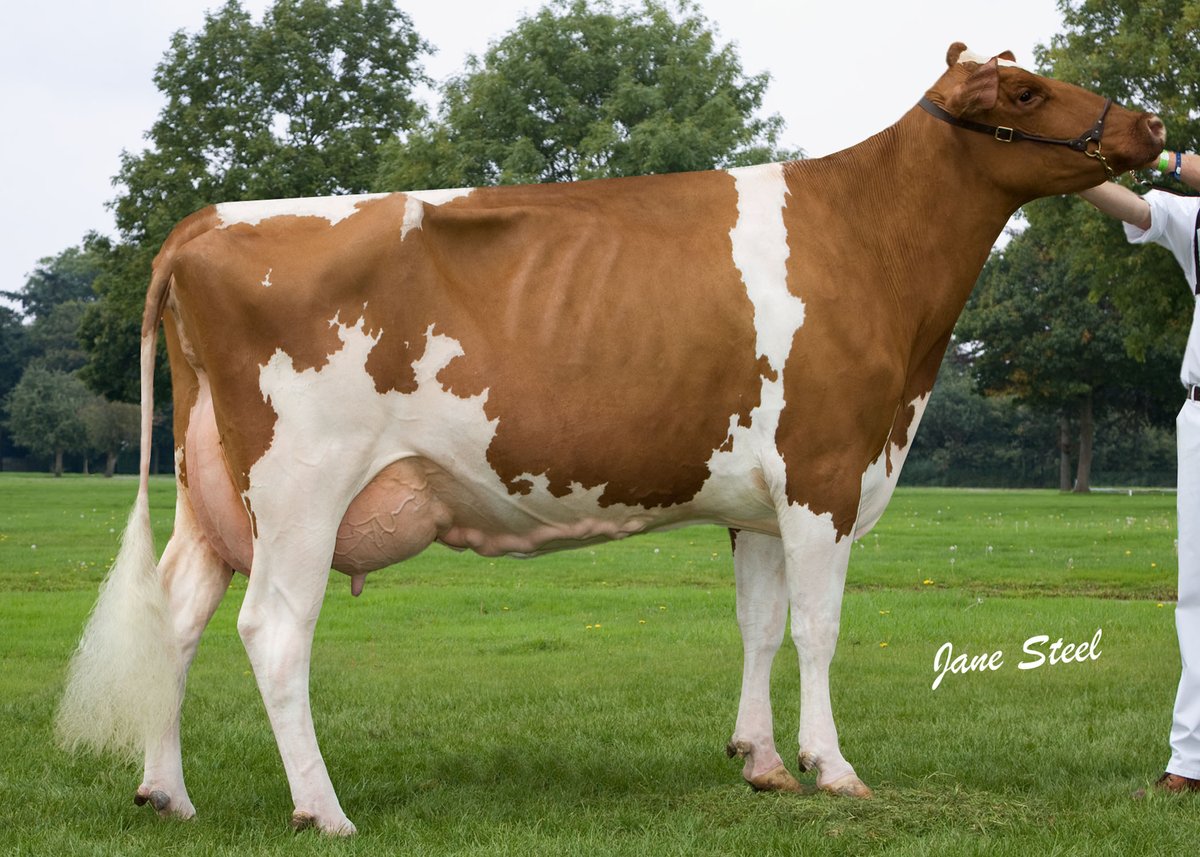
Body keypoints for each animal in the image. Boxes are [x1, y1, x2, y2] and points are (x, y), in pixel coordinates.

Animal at [57, 43, 1164, 835]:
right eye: (1022, 89)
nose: (1151, 123)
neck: (870, 246)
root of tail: (206, 220)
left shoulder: (761, 499)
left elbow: (760, 624)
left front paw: (763, 761)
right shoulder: (825, 473)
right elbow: (818, 627)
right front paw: (834, 767)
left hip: (213, 489)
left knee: (179, 615)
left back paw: (169, 793)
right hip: (299, 488)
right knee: (273, 633)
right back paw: (323, 810)